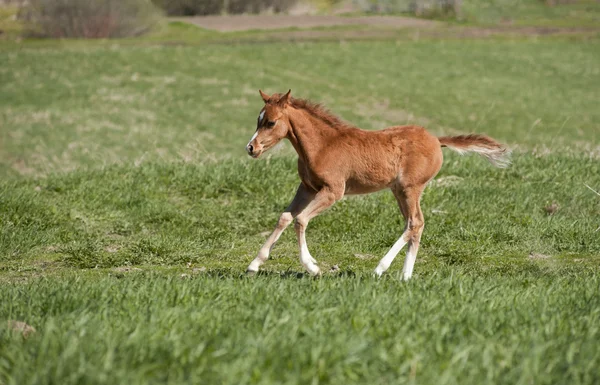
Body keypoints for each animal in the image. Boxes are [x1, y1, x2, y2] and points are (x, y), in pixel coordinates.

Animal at [246, 90, 508, 280]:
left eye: (270, 122)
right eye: (258, 120)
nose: (251, 148)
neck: (323, 145)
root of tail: (436, 140)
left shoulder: (333, 191)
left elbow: (300, 220)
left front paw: (312, 267)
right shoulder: (308, 187)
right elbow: (285, 217)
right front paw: (254, 264)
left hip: (410, 188)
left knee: (415, 222)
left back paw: (380, 268)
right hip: (399, 191)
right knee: (415, 224)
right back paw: (405, 275)